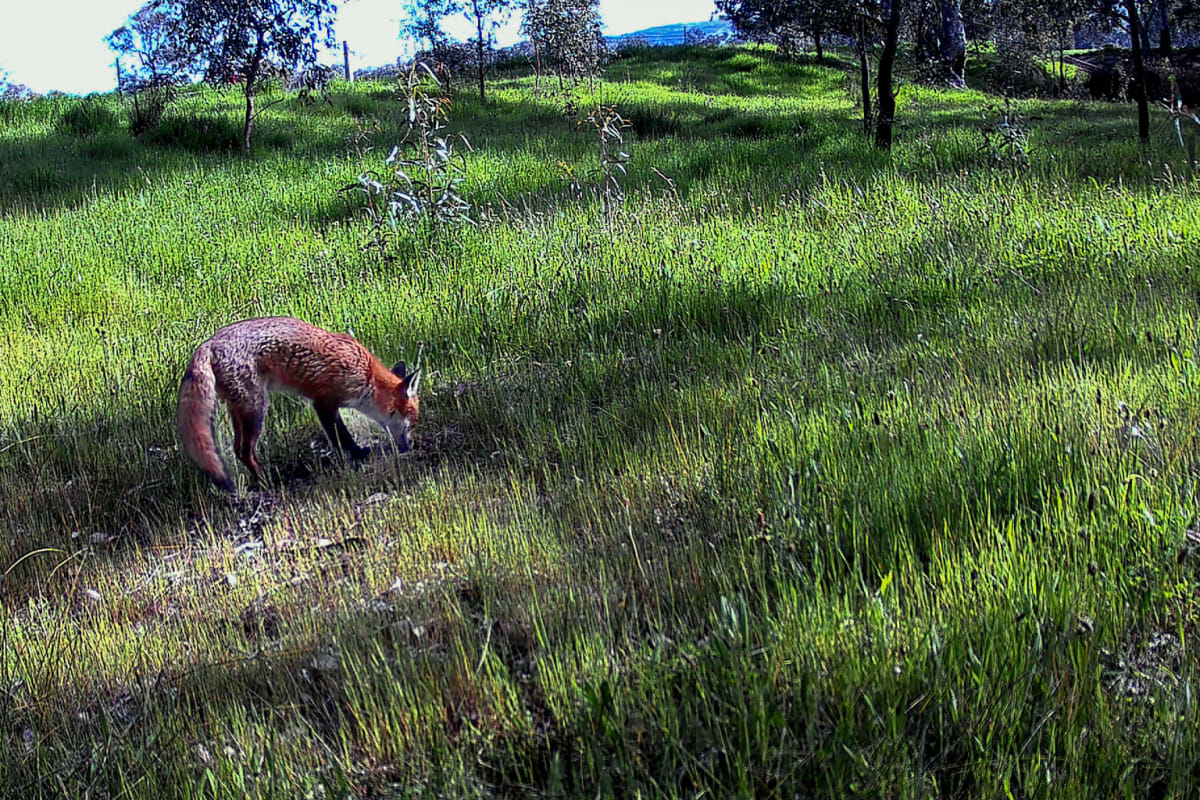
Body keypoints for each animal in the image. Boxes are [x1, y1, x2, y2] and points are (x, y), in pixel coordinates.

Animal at [177, 316, 421, 492]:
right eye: (412, 422)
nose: (412, 446)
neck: (368, 376)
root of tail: (210, 342)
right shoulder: (324, 403)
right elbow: (340, 437)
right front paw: (358, 455)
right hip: (256, 410)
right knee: (245, 451)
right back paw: (267, 481)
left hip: (239, 410)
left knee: (238, 449)